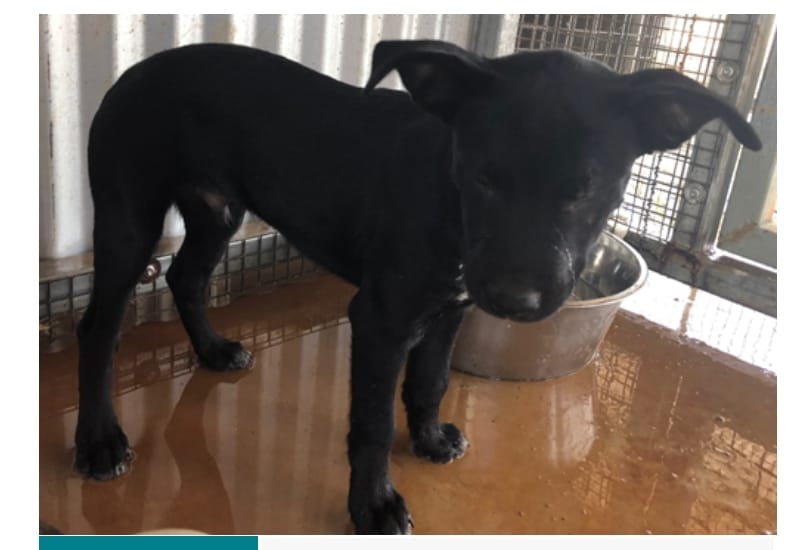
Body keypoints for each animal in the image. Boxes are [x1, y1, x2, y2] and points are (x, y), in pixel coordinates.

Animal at [74, 39, 761, 534]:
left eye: (583, 190)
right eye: (483, 177)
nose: (514, 300)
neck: (446, 197)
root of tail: (134, 70)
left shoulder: (450, 308)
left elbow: (430, 382)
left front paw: (429, 440)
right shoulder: (379, 318)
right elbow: (373, 423)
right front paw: (374, 504)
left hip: (217, 209)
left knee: (185, 276)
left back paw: (214, 351)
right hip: (127, 218)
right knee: (98, 328)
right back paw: (100, 441)